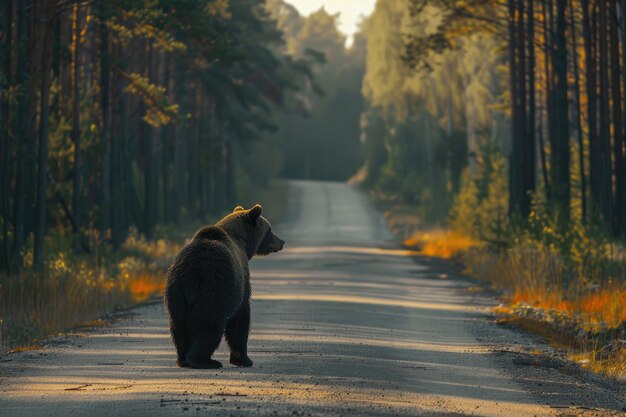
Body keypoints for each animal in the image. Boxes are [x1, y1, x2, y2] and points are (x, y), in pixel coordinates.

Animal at [165, 203, 284, 368]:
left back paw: (182, 359)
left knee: (178, 328)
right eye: (270, 230)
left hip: (176, 293)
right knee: (210, 326)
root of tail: (192, 274)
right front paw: (243, 358)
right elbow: (241, 317)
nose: (282, 241)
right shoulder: (240, 280)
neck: (243, 244)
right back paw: (205, 360)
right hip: (213, 291)